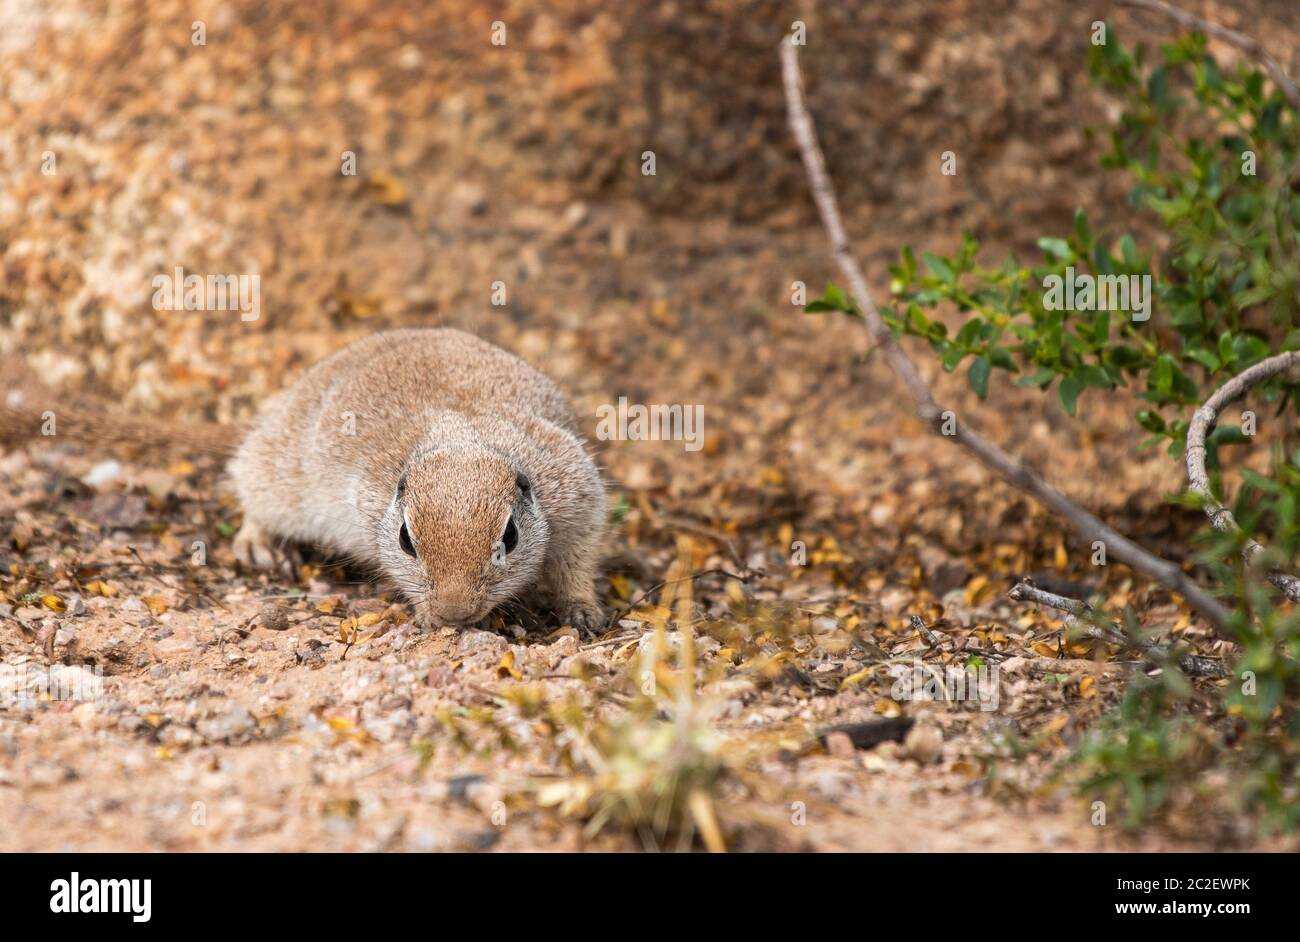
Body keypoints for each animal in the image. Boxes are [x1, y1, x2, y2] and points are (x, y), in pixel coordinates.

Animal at [1, 329, 608, 631]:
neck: (461, 440)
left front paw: (583, 611)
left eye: (509, 537)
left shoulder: (574, 490)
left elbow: (579, 559)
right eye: (407, 541)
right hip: (277, 479)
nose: (455, 614)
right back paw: (258, 545)